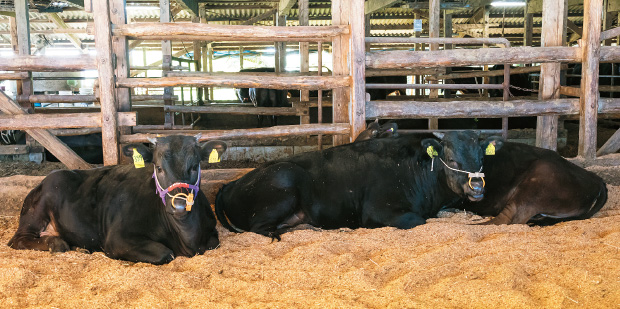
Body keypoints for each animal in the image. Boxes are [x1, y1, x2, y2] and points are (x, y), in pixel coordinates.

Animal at [8, 134, 226, 264]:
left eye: (195, 166)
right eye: (158, 168)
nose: (179, 205)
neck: (187, 237)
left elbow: (213, 243)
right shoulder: (117, 239)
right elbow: (166, 253)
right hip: (37, 211)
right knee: (18, 239)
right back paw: (57, 243)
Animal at [216, 130, 502, 238]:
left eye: (481, 159)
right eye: (452, 158)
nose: (477, 187)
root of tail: (232, 183)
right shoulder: (378, 210)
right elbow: (417, 221)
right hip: (284, 180)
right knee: (259, 228)